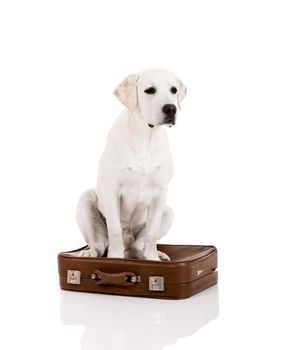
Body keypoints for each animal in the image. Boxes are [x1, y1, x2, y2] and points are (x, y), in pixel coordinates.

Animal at [75, 69, 186, 260]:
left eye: (174, 90)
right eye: (149, 90)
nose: (171, 108)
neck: (145, 137)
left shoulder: (161, 192)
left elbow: (151, 234)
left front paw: (153, 259)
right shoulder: (112, 189)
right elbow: (114, 230)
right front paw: (114, 259)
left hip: (168, 212)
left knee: (136, 246)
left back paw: (153, 255)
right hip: (85, 201)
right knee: (99, 244)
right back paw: (90, 252)